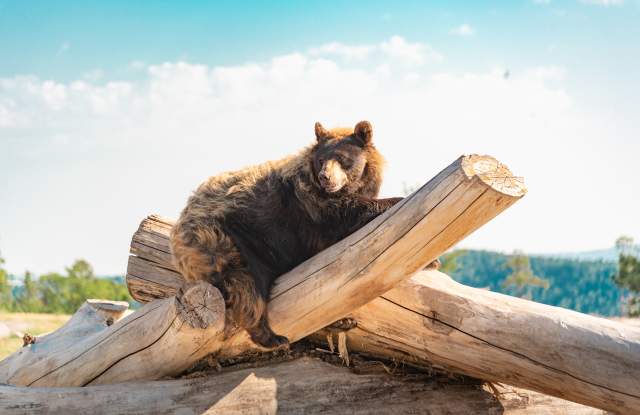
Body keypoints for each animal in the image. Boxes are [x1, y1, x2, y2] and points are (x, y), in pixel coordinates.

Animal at [170, 120, 404, 349]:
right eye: (321, 160)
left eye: (342, 158)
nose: (325, 177)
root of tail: (177, 229)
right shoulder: (312, 207)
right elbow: (347, 213)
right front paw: (396, 199)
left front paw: (344, 319)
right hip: (228, 239)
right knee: (245, 285)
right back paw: (272, 338)